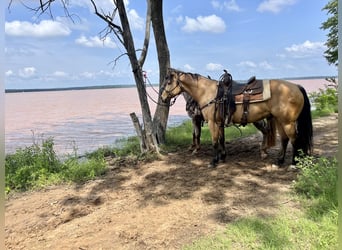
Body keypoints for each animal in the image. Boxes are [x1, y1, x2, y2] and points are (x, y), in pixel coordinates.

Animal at [162, 67, 314, 167]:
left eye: (169, 82)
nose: (163, 97)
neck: (208, 92)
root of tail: (296, 86)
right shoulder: (219, 122)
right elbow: (221, 140)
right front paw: (222, 157)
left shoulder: (211, 122)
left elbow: (214, 141)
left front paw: (213, 161)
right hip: (279, 120)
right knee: (284, 139)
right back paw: (279, 161)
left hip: (287, 121)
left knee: (294, 139)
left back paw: (293, 163)